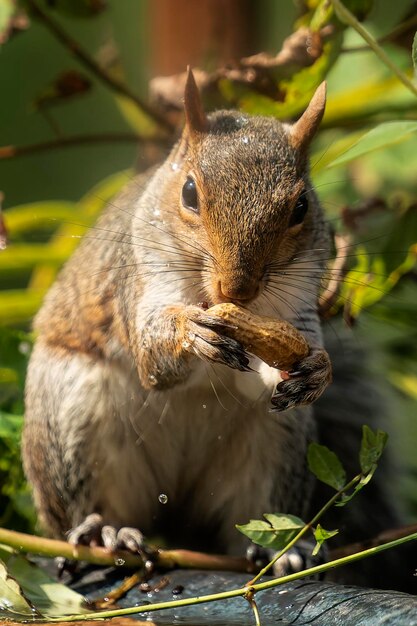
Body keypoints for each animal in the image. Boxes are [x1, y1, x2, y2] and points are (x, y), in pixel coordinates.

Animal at [22, 70, 410, 588]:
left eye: (301, 207)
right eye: (189, 192)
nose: (237, 289)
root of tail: (177, 512)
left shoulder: (296, 307)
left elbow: (280, 363)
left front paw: (317, 370)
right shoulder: (139, 278)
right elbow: (152, 357)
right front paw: (191, 332)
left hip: (276, 446)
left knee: (252, 516)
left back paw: (282, 551)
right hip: (70, 415)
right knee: (85, 503)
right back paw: (107, 531)